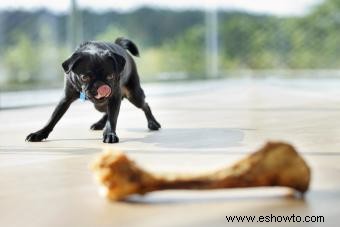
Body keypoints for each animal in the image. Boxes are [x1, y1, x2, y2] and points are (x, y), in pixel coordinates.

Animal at [25, 38, 161, 143]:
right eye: (85, 77)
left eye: (110, 76)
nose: (100, 86)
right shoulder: (65, 99)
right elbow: (53, 118)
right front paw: (40, 133)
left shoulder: (114, 97)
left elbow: (113, 118)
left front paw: (110, 134)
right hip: (100, 105)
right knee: (106, 111)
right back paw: (99, 124)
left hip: (133, 95)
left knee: (145, 105)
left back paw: (153, 123)